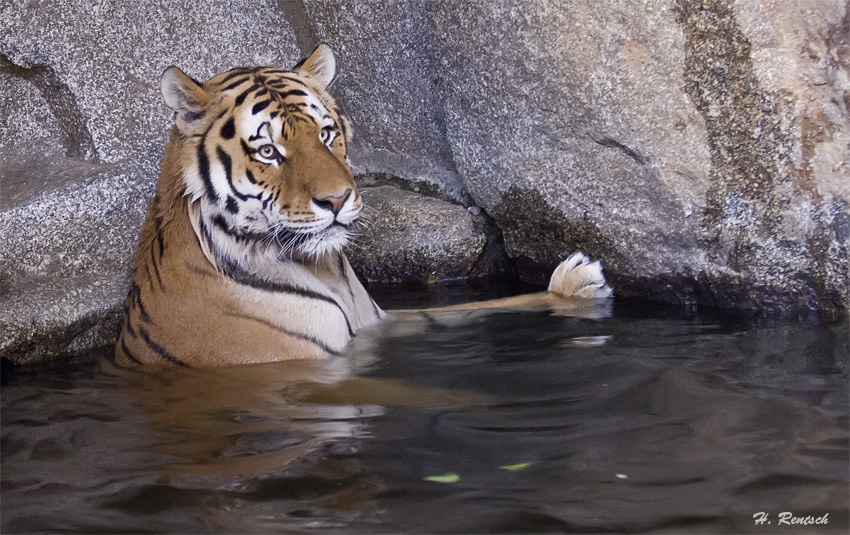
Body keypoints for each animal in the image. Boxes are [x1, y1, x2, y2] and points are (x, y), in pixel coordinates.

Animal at [114, 44, 612, 369]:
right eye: (268, 152)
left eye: (326, 134)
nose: (337, 199)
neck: (326, 271)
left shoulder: (378, 321)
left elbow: (481, 305)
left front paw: (575, 285)